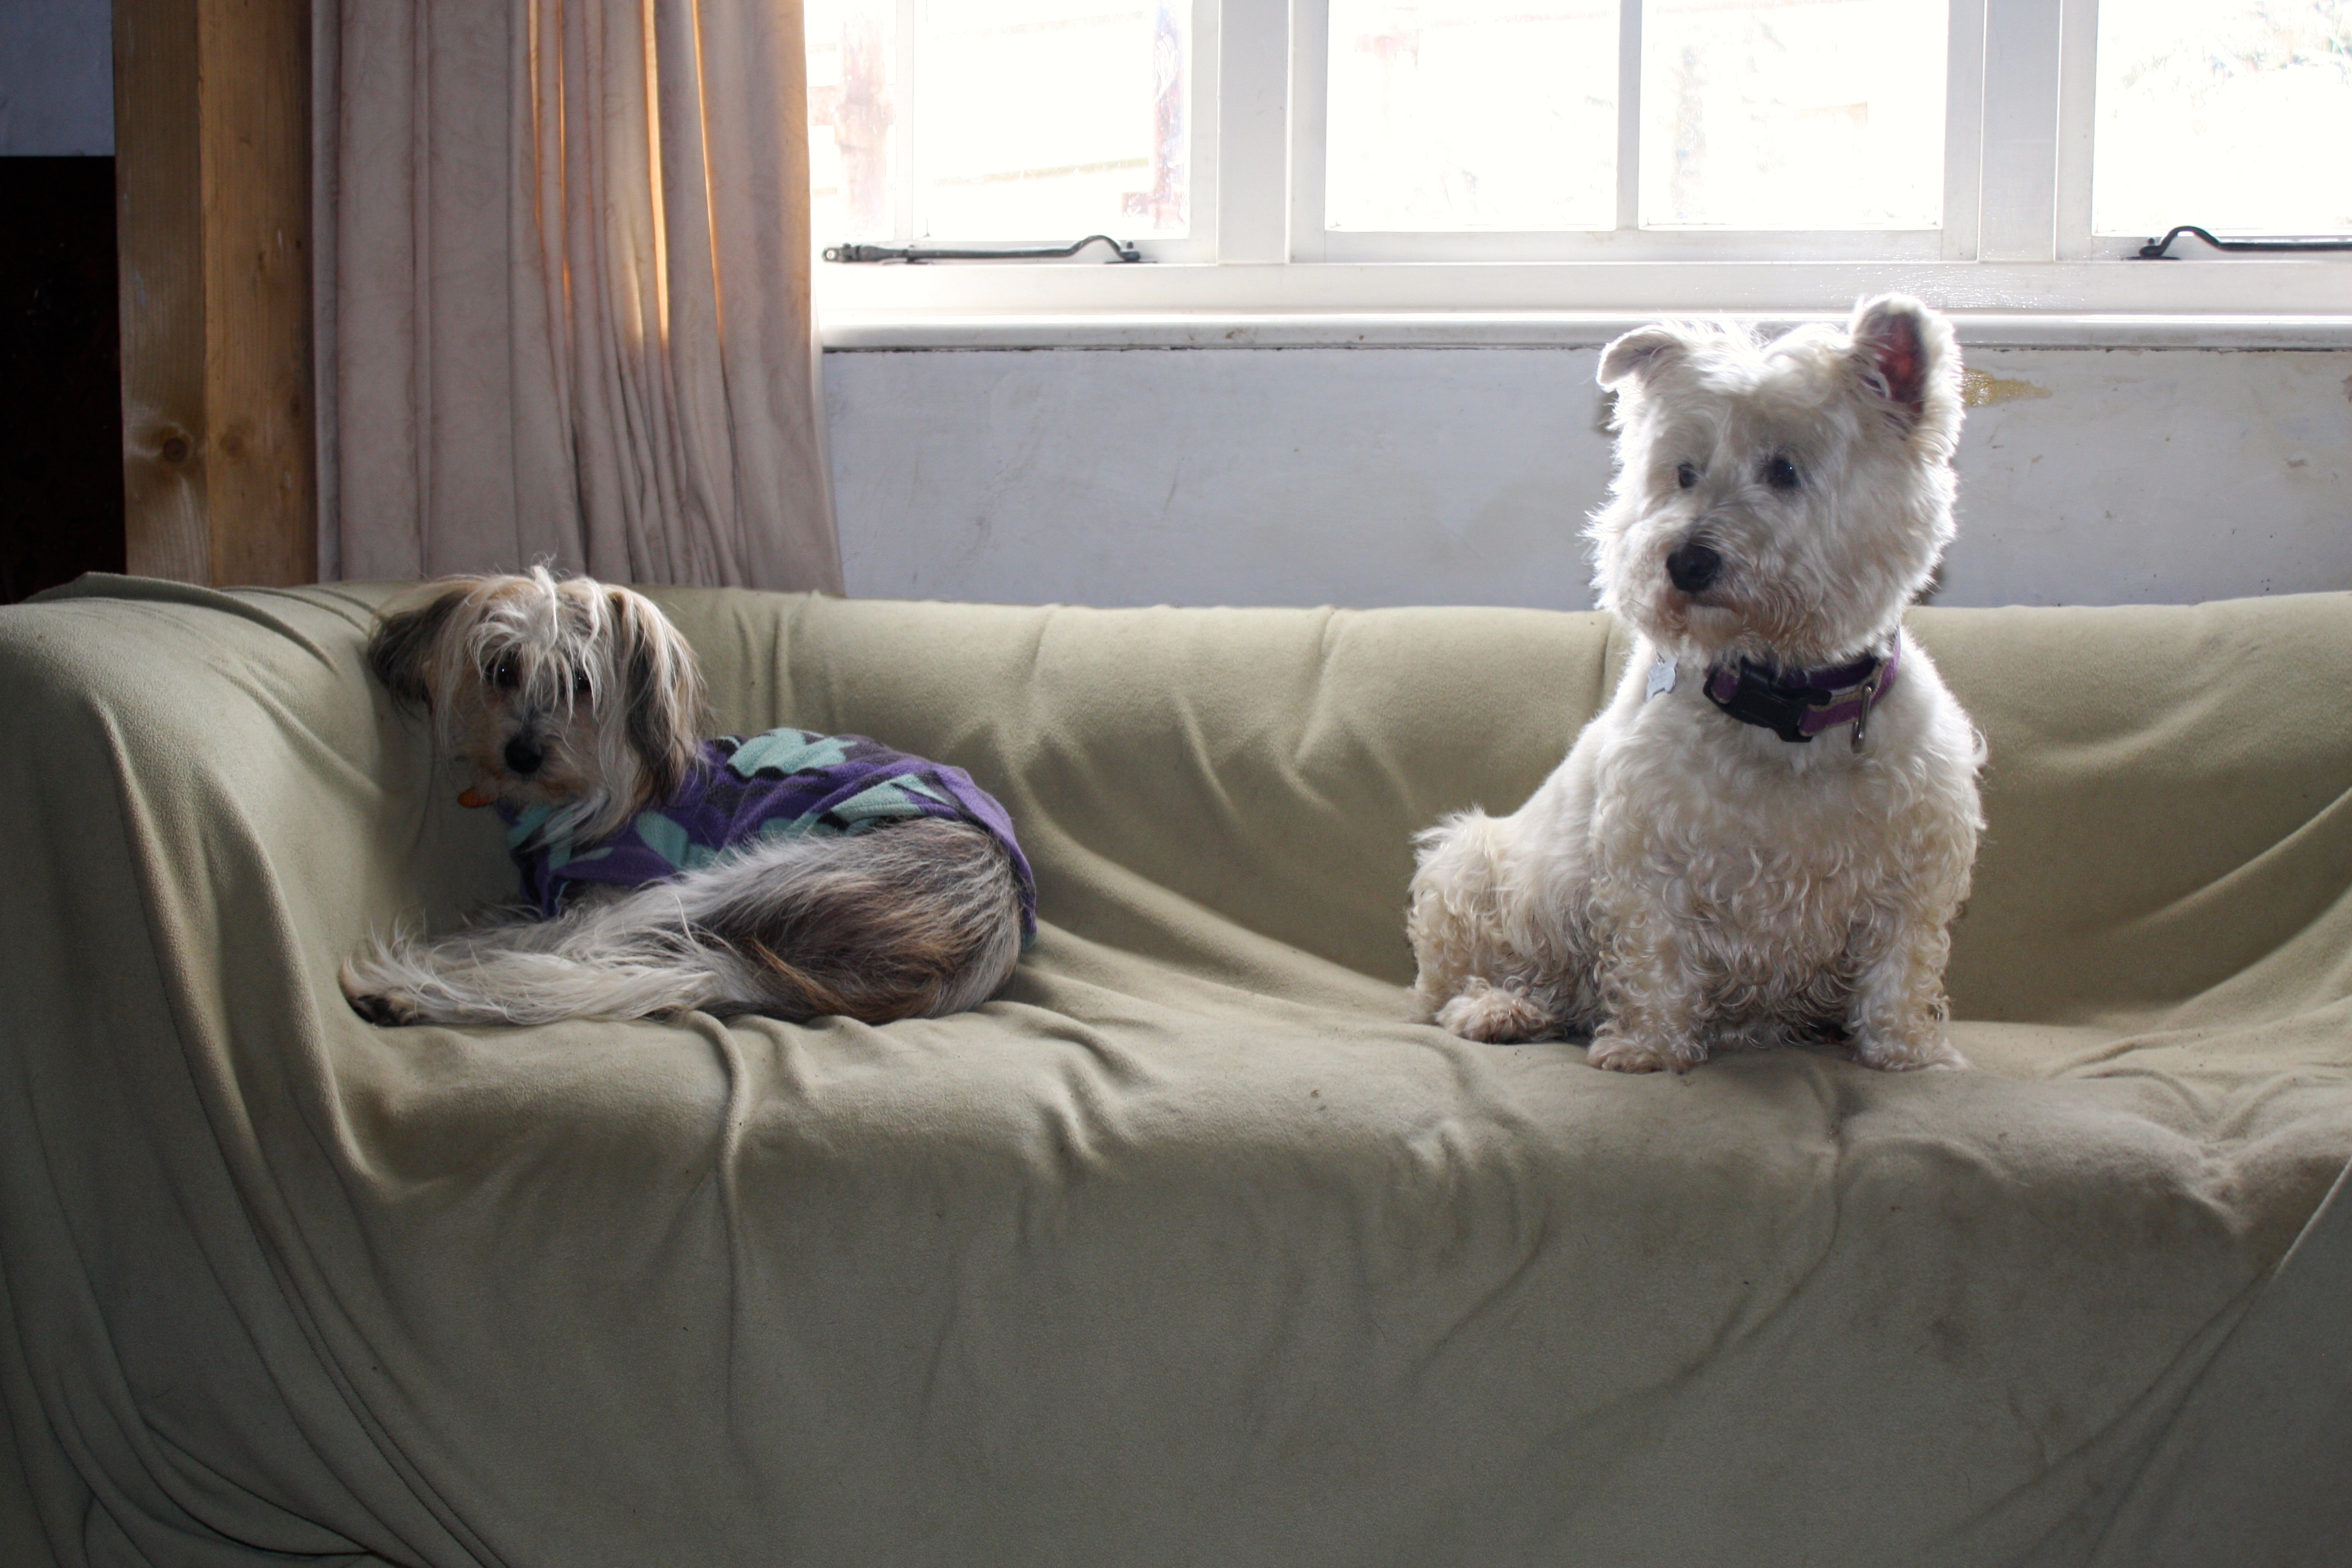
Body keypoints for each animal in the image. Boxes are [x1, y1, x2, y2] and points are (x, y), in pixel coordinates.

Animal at [340, 569, 1032, 1027]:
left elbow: (531, 937)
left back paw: (405, 991)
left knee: (573, 956)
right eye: (502, 670)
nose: (523, 753)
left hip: (735, 880)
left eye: (581, 683)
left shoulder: (609, 889)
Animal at [1406, 295, 1985, 1074]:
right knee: (1459, 982)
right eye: (1683, 471)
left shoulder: (1912, 867)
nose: (1684, 562)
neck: (1784, 709)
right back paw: (1500, 1009)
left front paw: (1908, 1051)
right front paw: (1646, 1047)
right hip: (1469, 864)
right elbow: (1656, 953)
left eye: (1784, 469)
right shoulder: (1648, 852)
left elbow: (1901, 965)